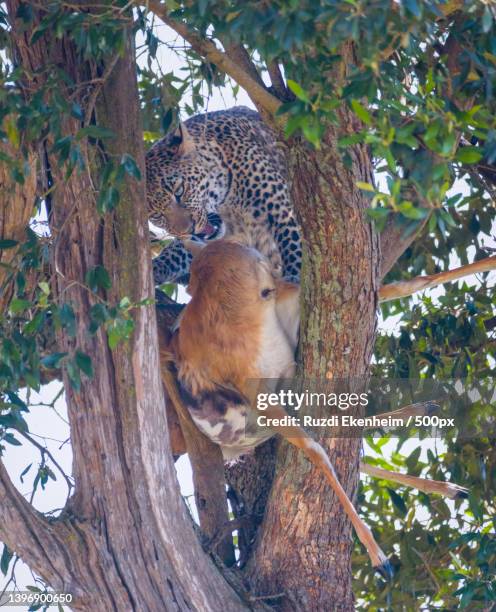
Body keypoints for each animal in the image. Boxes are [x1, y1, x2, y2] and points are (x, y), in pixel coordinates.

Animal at [146, 107, 302, 284]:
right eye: (157, 216)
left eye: (179, 191)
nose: (190, 229)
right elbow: (176, 251)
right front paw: (155, 270)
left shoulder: (280, 207)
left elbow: (293, 245)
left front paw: (295, 278)